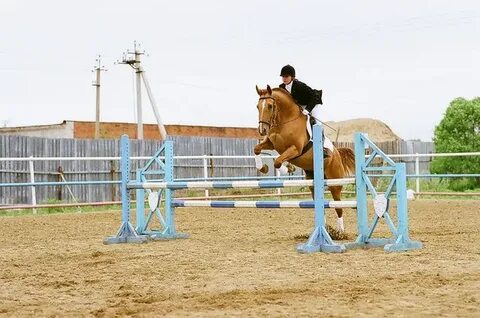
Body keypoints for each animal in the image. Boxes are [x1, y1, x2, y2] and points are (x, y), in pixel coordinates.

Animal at [255, 84, 356, 231]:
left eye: (269, 106)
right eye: (257, 106)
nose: (262, 130)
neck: (285, 121)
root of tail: (337, 153)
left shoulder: (296, 149)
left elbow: (278, 161)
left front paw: (288, 168)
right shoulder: (271, 144)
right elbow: (257, 149)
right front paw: (262, 168)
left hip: (335, 183)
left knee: (338, 206)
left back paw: (340, 230)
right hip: (312, 183)